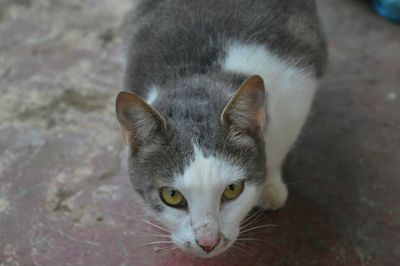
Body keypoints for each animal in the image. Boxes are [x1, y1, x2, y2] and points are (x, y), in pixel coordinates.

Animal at [114, 0, 326, 258]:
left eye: (233, 189)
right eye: (171, 196)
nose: (208, 242)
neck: (200, 74)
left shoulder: (298, 84)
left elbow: (278, 149)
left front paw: (270, 188)